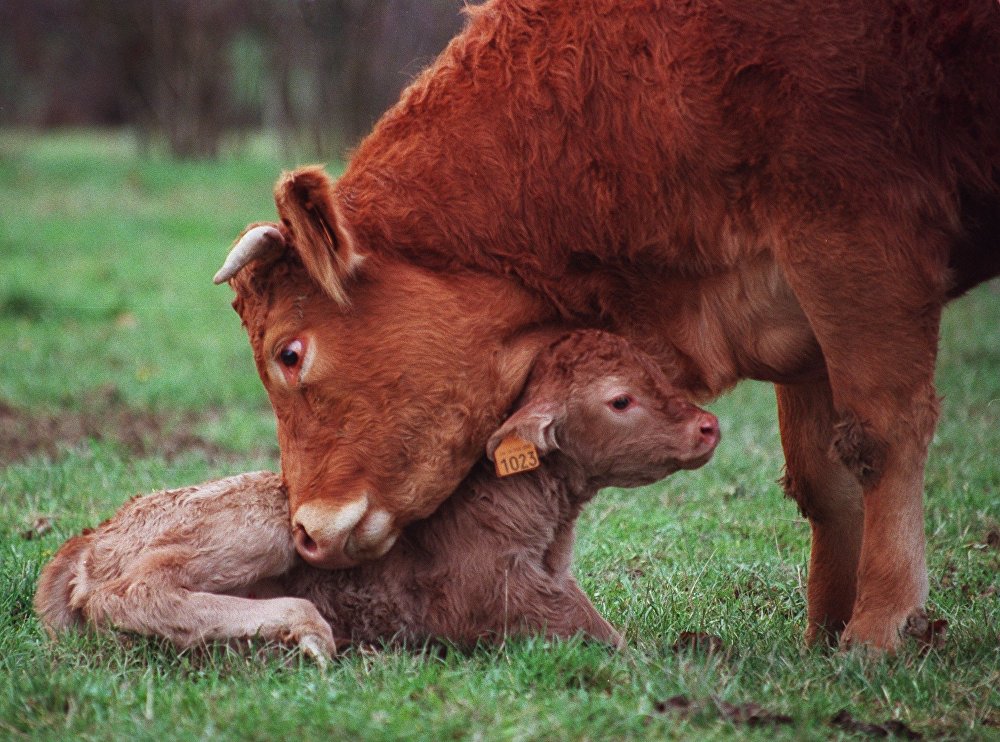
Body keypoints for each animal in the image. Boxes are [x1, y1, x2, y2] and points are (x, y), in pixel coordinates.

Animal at [37, 332, 720, 656]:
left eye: (658, 373)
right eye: (620, 401)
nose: (709, 426)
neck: (543, 529)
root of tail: (93, 536)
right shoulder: (495, 597)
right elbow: (601, 636)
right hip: (264, 521)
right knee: (132, 593)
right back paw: (304, 629)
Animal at [215, 0, 996, 652]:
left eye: (290, 353)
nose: (306, 532)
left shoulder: (856, 244)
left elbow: (879, 438)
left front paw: (879, 628)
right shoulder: (800, 316)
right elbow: (823, 480)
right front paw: (824, 635)